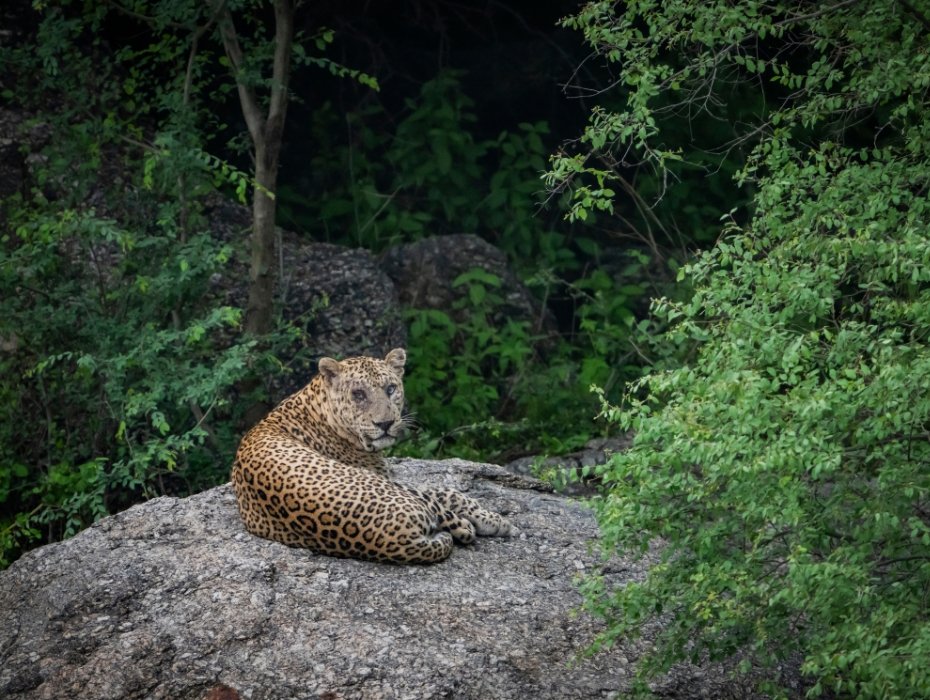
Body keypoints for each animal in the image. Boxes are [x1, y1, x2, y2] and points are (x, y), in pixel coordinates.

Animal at [231, 348, 512, 564]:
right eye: (358, 394)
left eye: (390, 389)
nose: (385, 423)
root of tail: (396, 541)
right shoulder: (391, 478)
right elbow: (446, 492)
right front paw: (494, 518)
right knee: (448, 515)